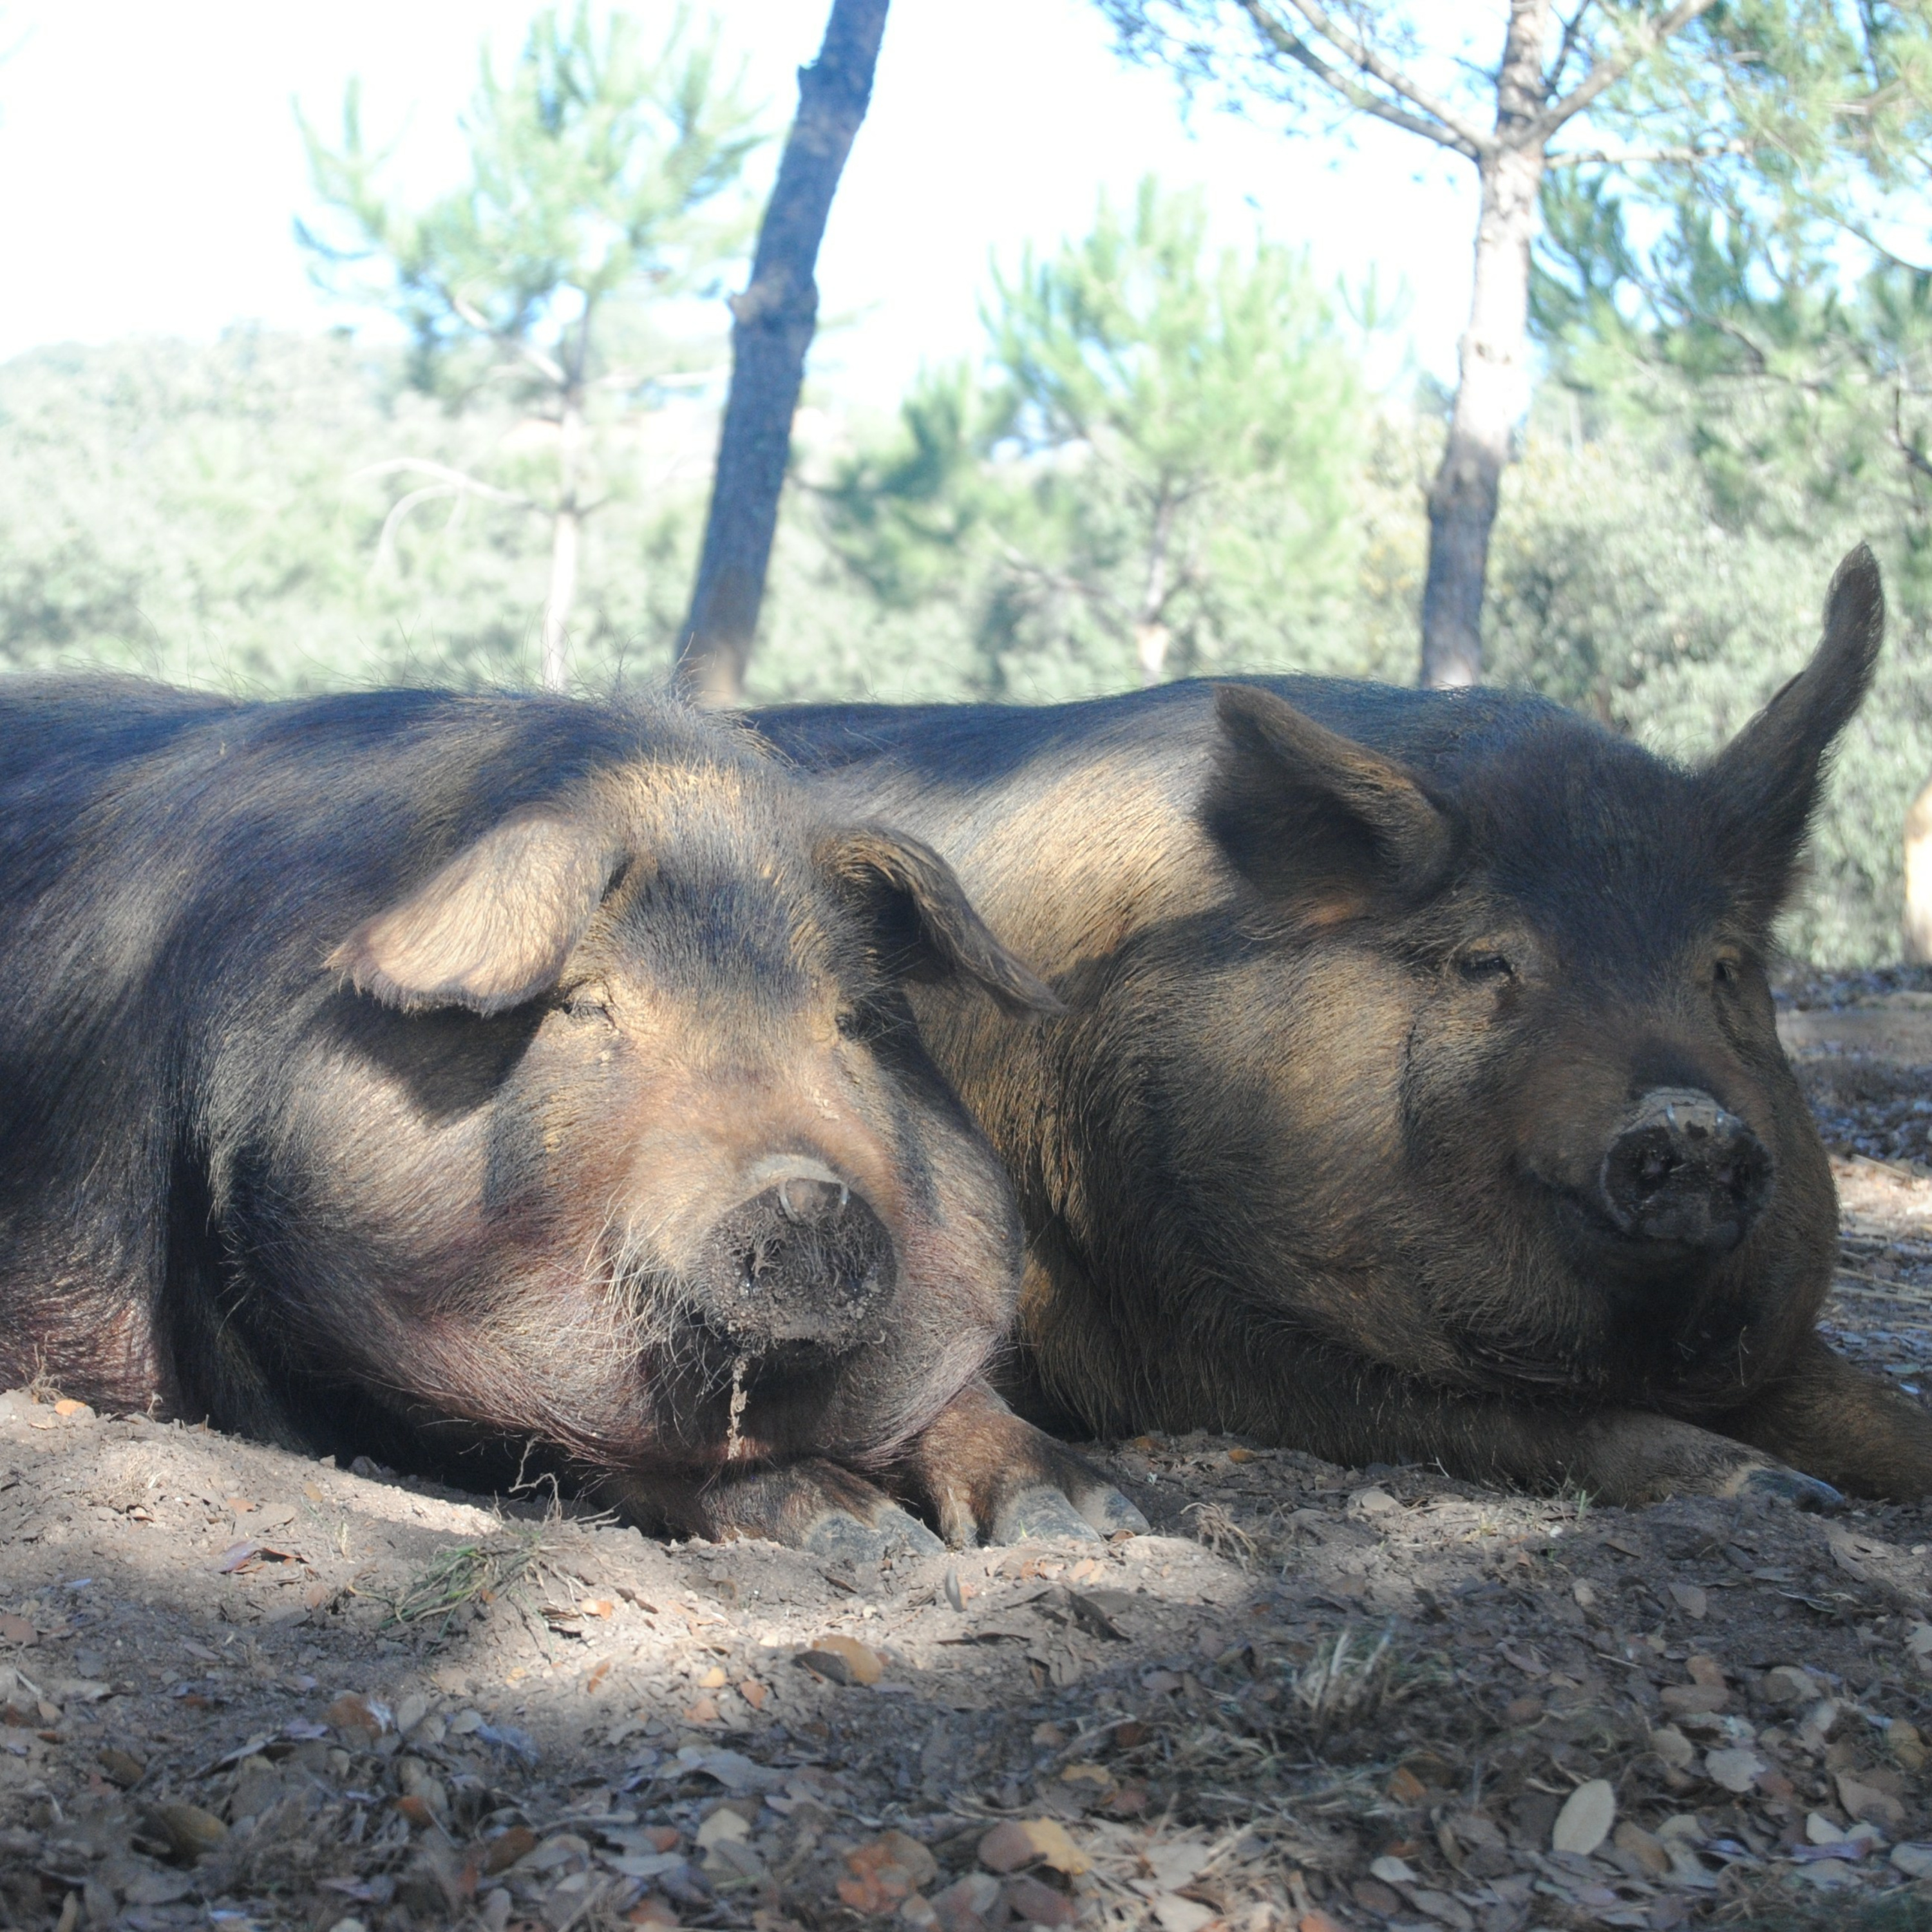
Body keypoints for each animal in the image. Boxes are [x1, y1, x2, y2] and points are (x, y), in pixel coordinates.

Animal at [0, 677, 1146, 1553]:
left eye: (853, 1021)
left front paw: (1087, 1517)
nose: (807, 1195)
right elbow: (552, 1442)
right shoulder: (270, 1322)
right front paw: (860, 1534)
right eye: (585, 1005)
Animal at [755, 546, 1932, 1505]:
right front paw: (1780, 1491)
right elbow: (1524, 1422)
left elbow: (1888, 1415)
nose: (1689, 1119)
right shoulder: (1198, 1344)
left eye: (1725, 968)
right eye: (1489, 962)